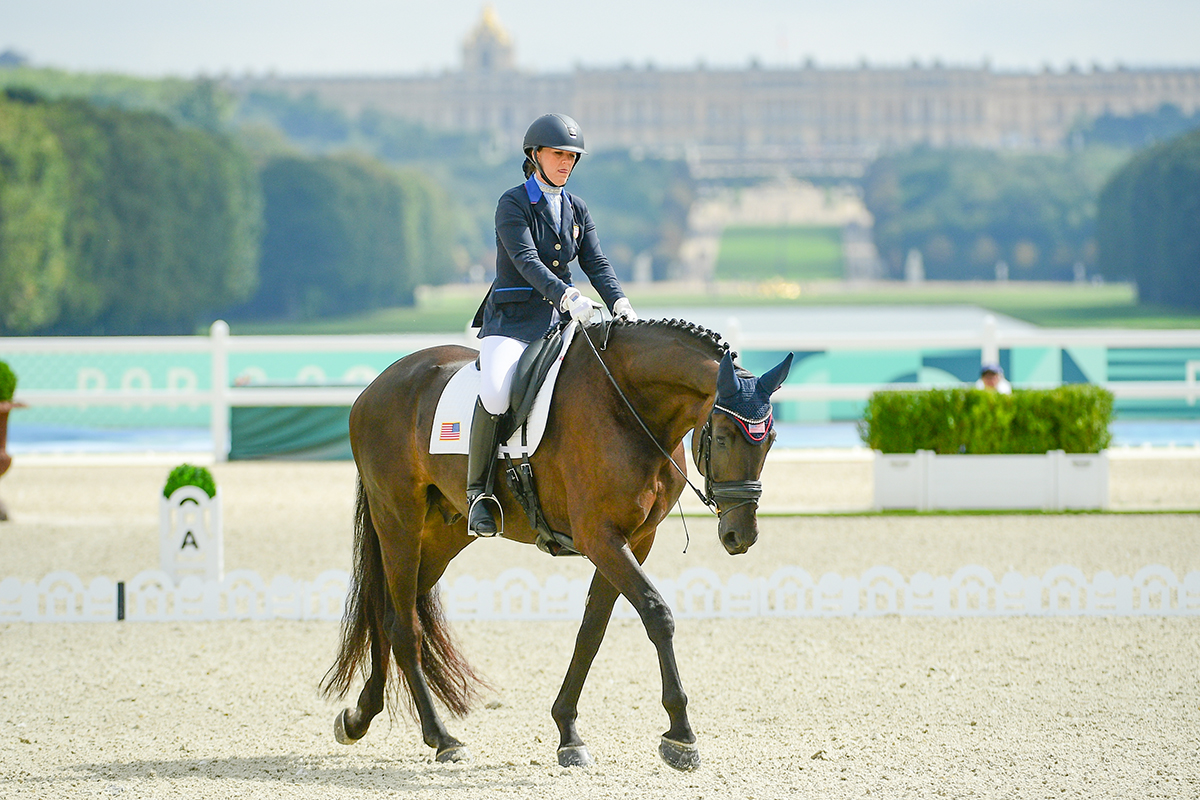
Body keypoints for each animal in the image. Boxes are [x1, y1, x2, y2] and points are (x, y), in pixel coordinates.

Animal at [324, 316, 792, 767]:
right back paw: (442, 739)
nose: (740, 535)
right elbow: (657, 614)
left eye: (770, 439)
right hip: (399, 521)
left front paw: (568, 733)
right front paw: (681, 736)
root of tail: (377, 385)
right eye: (723, 437)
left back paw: (358, 717)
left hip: (441, 535)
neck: (629, 405)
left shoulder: (636, 540)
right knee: (405, 626)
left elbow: (592, 629)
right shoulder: (601, 536)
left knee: (388, 615)